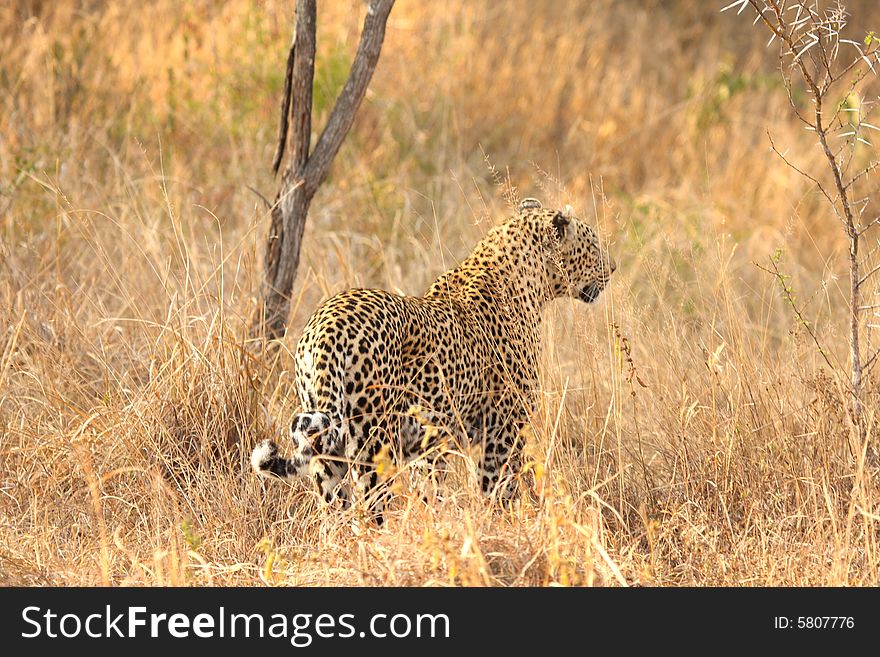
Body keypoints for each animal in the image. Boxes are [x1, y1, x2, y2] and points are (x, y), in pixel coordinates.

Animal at [251, 197, 616, 520]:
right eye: (593, 243)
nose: (613, 268)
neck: (530, 284)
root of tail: (325, 326)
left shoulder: (431, 446)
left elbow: (430, 492)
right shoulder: (502, 432)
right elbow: (498, 493)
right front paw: (503, 529)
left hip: (327, 445)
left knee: (335, 511)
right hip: (374, 442)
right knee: (369, 508)